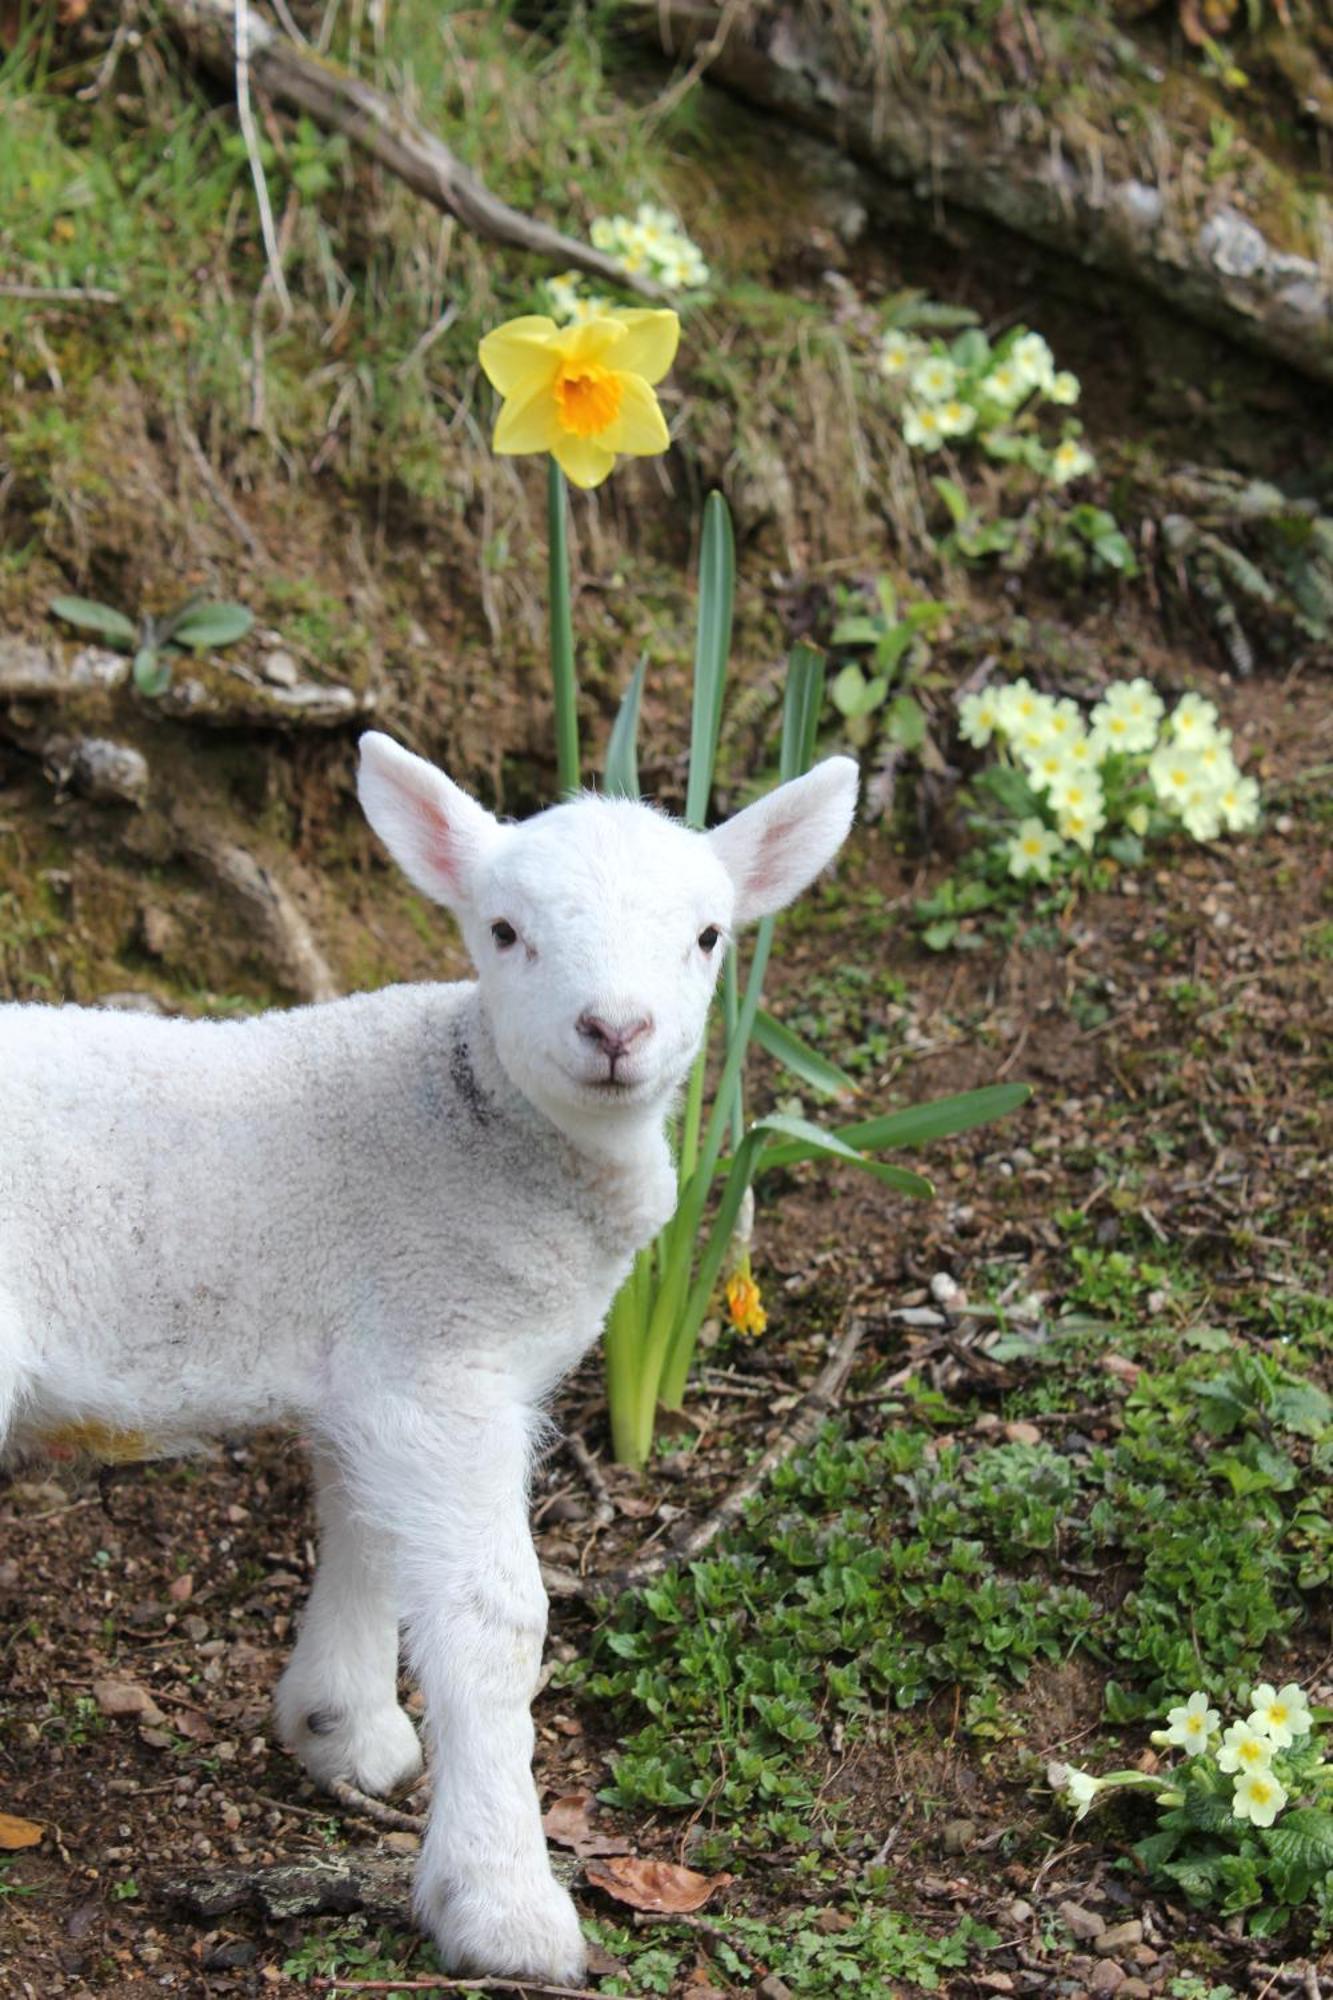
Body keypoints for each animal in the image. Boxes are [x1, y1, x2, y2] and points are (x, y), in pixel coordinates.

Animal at [0, 732, 856, 1968]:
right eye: (501, 930)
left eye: (707, 935)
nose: (615, 1031)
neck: (481, 1122)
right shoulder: (439, 1361)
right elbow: (496, 1619)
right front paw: (502, 1902)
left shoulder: (383, 1357)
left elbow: (372, 1533)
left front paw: (340, 1725)